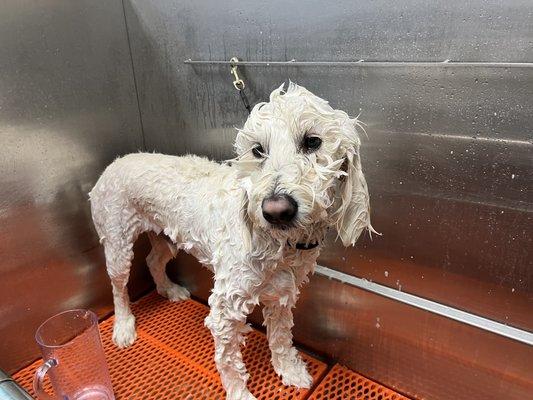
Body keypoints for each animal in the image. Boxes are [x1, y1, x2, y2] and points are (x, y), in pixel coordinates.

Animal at [89, 82, 374, 400]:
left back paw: (169, 289)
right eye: (258, 150)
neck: (280, 246)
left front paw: (290, 370)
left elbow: (280, 338)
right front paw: (239, 392)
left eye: (313, 142)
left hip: (165, 237)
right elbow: (228, 361)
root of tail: (115, 163)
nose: (276, 210)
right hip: (118, 242)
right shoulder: (225, 307)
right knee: (118, 286)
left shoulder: (282, 293)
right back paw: (124, 326)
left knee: (153, 261)